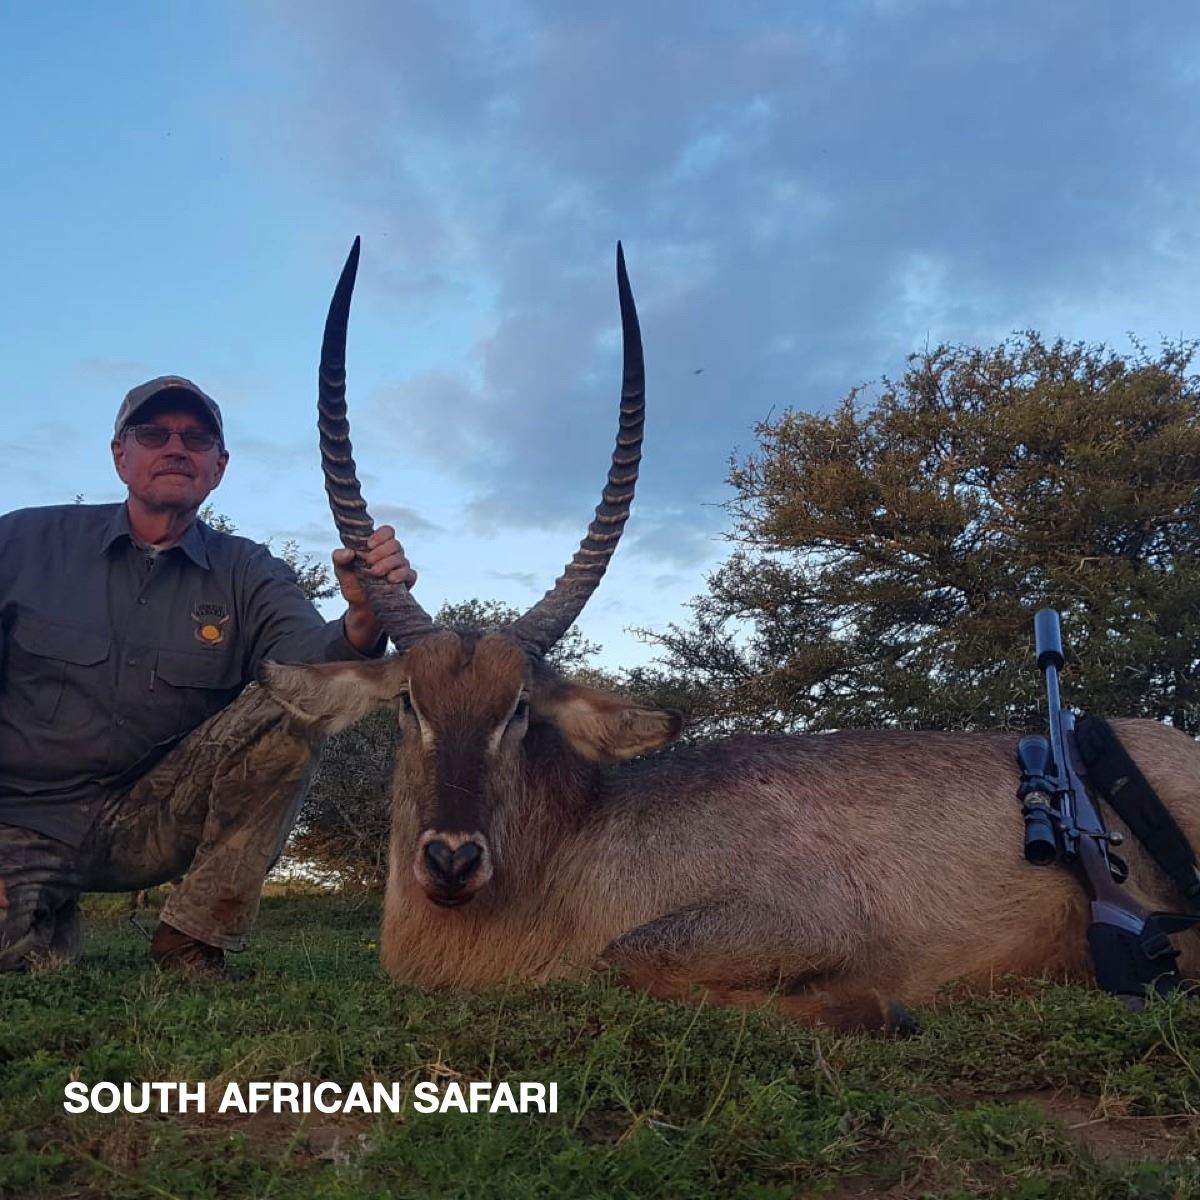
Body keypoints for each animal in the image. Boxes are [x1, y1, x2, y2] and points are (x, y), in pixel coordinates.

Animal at [260, 239, 1200, 1033]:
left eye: (519, 708)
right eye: (410, 702)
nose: (452, 861)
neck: (577, 841)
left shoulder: (806, 918)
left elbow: (624, 958)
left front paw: (873, 1009)